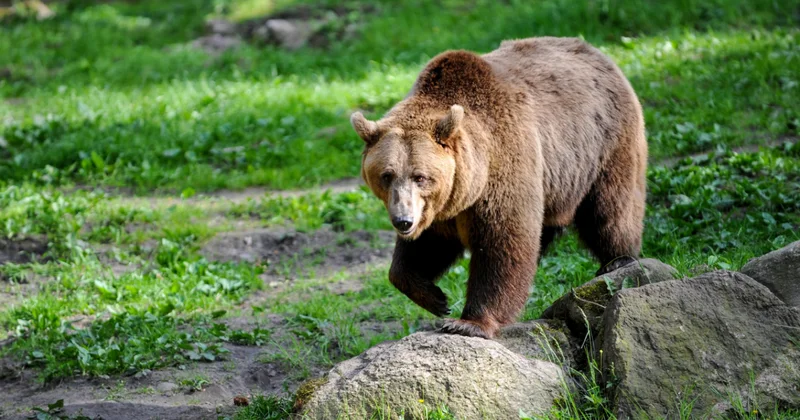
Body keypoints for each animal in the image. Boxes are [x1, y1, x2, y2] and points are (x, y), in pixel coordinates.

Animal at [350, 37, 648, 339]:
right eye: (387, 175)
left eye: (420, 176)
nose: (403, 221)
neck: (470, 182)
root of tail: (597, 52)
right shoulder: (439, 208)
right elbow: (424, 249)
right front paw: (435, 298)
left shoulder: (503, 167)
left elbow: (503, 243)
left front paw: (468, 322)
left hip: (604, 145)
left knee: (609, 209)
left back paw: (619, 259)